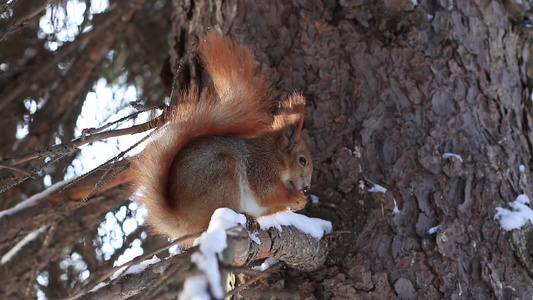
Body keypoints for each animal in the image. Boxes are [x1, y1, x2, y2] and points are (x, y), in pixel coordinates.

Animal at [130, 32, 312, 239]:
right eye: (302, 160)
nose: (307, 187)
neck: (277, 155)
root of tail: (183, 220)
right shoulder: (262, 168)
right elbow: (267, 192)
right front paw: (295, 197)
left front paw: (299, 202)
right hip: (223, 176)